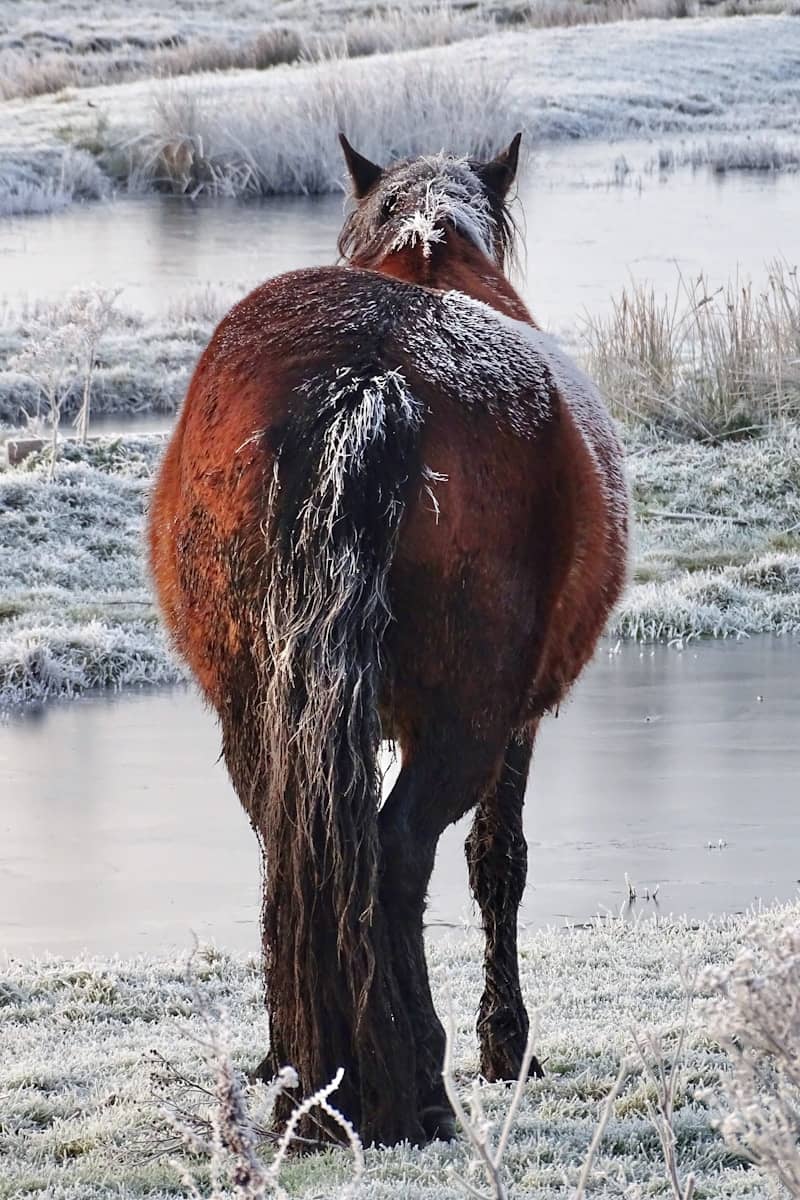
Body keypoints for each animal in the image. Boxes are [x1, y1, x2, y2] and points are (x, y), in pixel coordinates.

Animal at [148, 132, 629, 1149]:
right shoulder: (518, 722)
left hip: (258, 709)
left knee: (295, 844)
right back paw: (419, 1087)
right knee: (401, 852)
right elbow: (498, 863)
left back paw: (316, 1077)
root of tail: (369, 375)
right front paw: (506, 1045)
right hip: (466, 718)